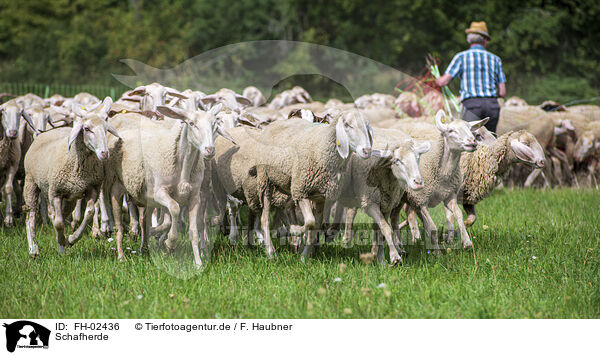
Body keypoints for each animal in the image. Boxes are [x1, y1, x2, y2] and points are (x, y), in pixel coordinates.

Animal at [22, 97, 118, 258]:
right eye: (87, 129)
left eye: (106, 128)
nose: (104, 154)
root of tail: (44, 132)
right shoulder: (55, 193)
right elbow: (59, 222)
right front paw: (62, 240)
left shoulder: (92, 188)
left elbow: (89, 213)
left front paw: (71, 239)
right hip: (31, 182)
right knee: (31, 216)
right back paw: (33, 249)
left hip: (70, 198)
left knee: (59, 214)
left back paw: (60, 247)